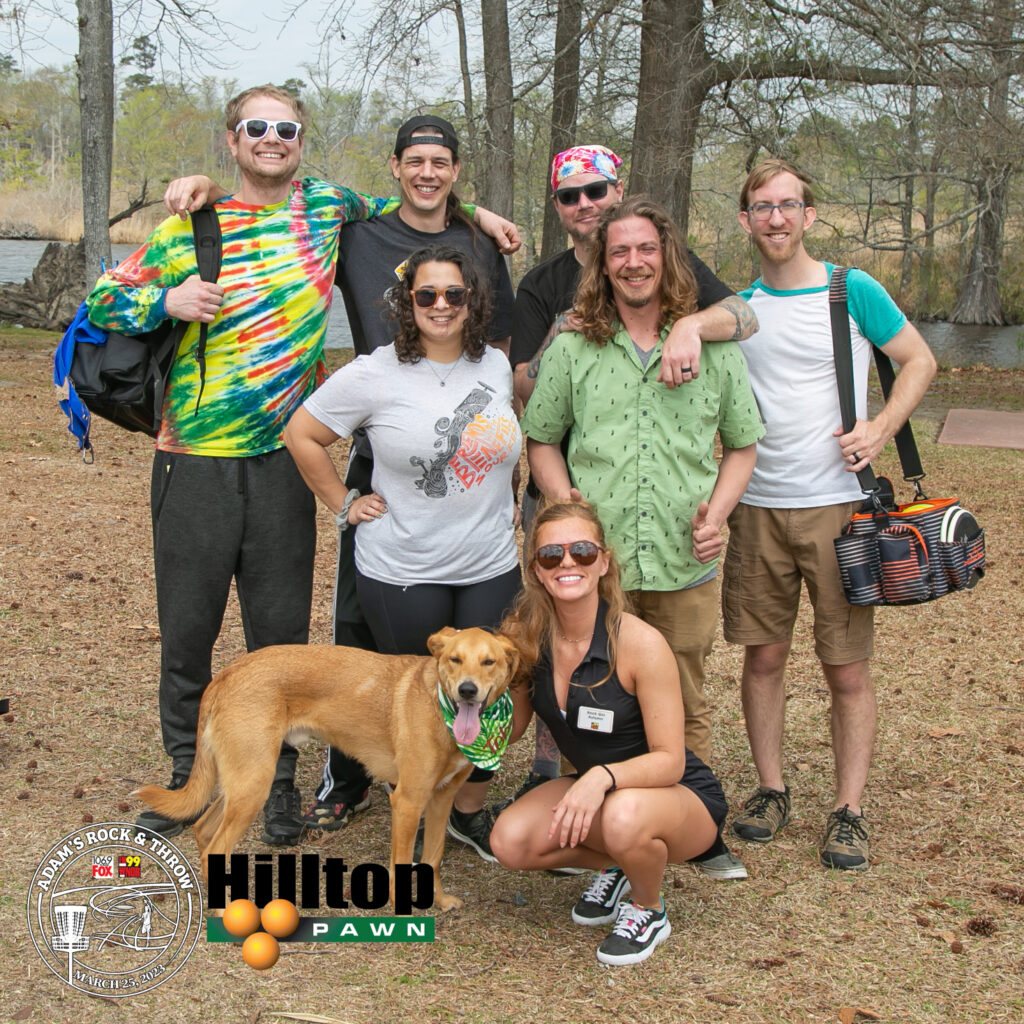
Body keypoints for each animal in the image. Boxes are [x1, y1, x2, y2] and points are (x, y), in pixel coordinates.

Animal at [136, 627, 518, 912]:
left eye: (488, 661)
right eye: (455, 659)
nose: (467, 690)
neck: (441, 709)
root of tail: (228, 672)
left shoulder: (441, 798)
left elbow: (433, 857)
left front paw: (438, 900)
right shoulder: (408, 802)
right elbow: (402, 863)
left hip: (243, 783)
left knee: (204, 830)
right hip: (253, 784)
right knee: (215, 844)